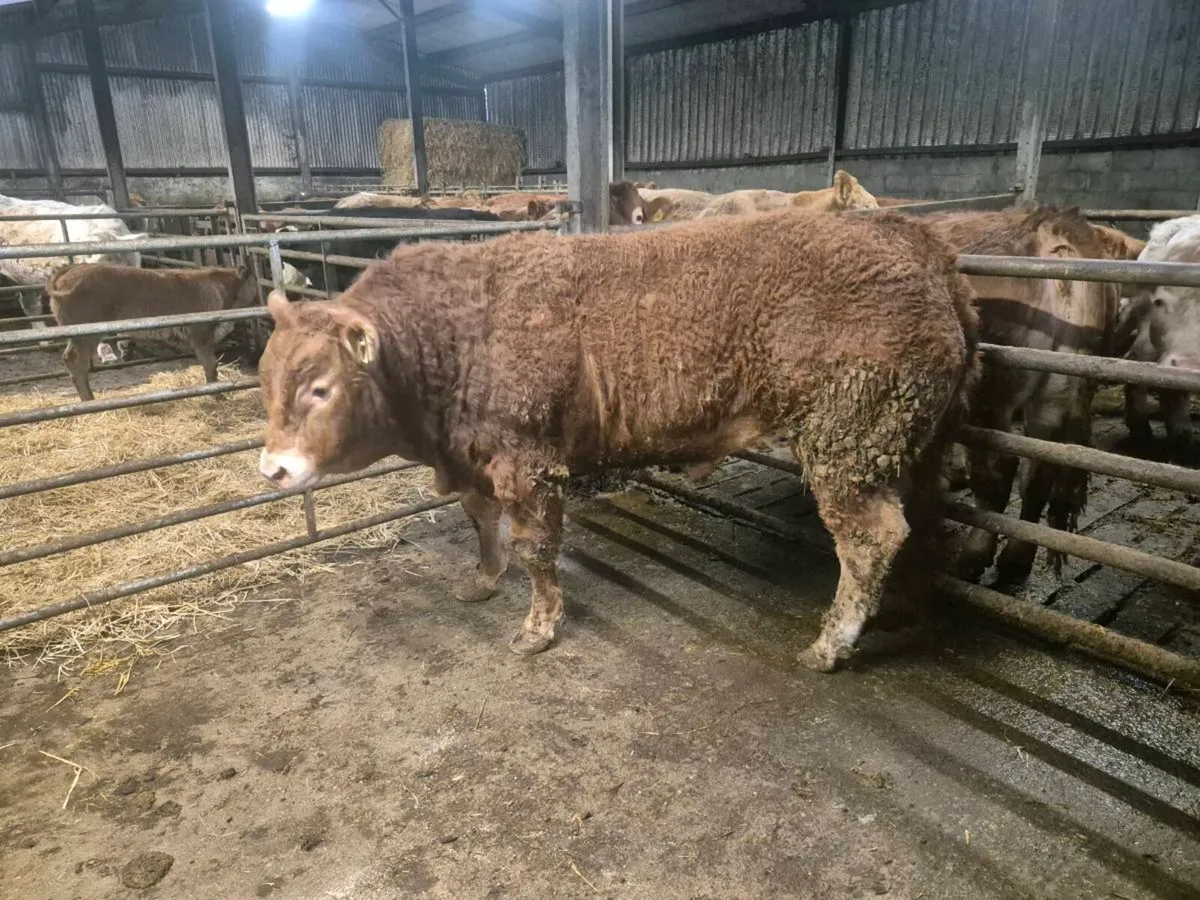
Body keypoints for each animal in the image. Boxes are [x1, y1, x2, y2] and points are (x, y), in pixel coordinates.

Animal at [47, 264, 257, 401]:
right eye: (253, 282)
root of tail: (68, 272)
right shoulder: (201, 334)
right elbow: (210, 364)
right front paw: (218, 395)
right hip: (86, 334)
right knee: (77, 363)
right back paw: (89, 401)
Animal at [256, 208, 979, 672]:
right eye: (265, 378)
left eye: (320, 387)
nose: (272, 470)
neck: (452, 333)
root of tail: (918, 242)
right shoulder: (475, 457)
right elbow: (481, 524)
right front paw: (483, 582)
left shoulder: (529, 462)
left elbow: (536, 549)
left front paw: (538, 627)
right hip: (913, 440)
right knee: (923, 521)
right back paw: (906, 612)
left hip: (847, 441)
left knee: (871, 538)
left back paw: (831, 644)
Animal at [922, 206, 1124, 584]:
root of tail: (1053, 230)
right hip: (1059, 389)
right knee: (1037, 472)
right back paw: (1016, 560)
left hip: (991, 393)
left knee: (997, 474)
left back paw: (973, 558)